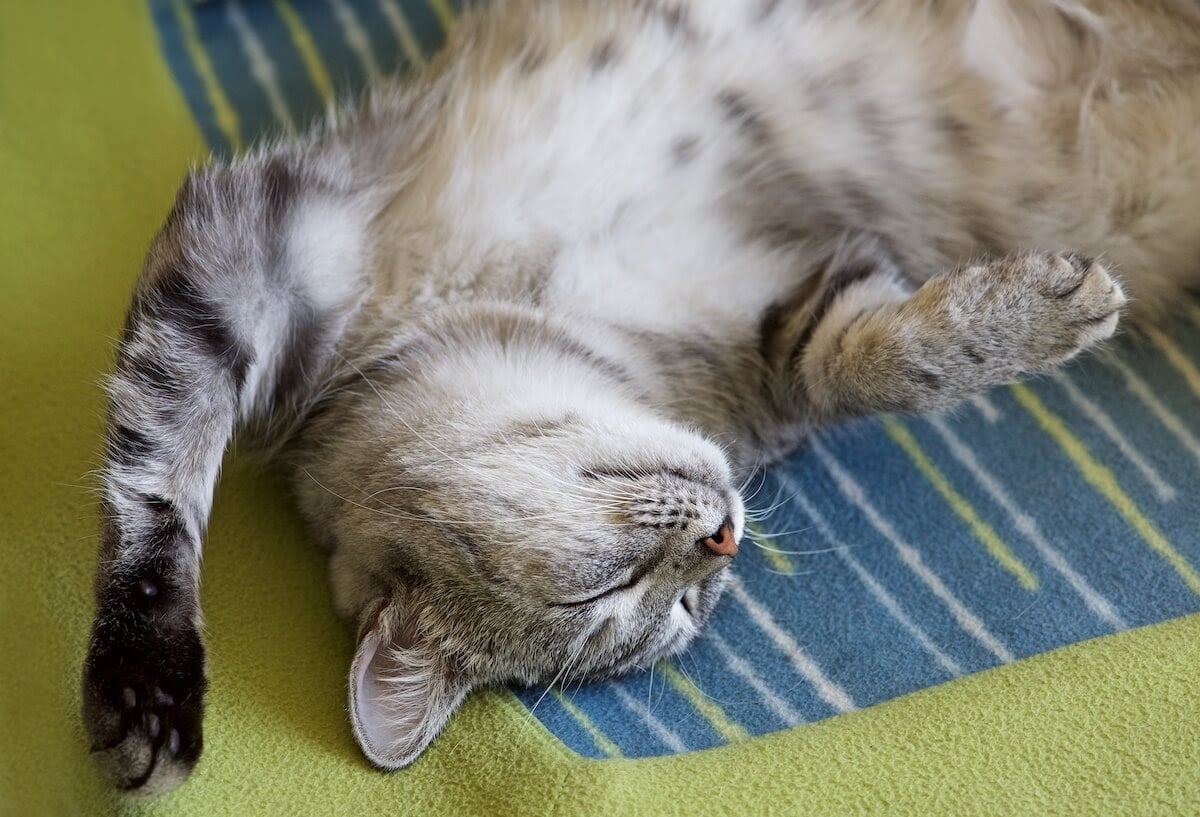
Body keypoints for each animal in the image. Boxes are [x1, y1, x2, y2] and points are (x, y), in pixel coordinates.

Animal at [79, 0, 1200, 791]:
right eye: (641, 605)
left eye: (611, 591)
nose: (724, 538)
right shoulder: (797, 304)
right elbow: (864, 358)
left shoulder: (258, 239)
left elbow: (150, 477)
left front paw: (140, 682)